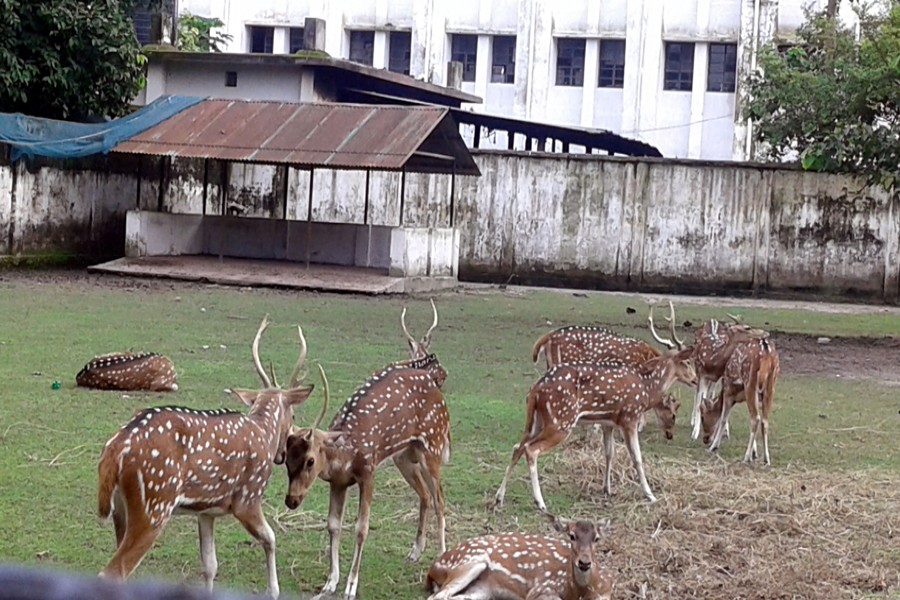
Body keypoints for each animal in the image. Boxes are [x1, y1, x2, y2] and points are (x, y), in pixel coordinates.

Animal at [96, 316, 314, 596]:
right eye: (294, 415)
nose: (281, 455)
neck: (263, 430)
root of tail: (115, 449)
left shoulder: (206, 511)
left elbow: (210, 565)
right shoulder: (248, 498)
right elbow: (271, 538)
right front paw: (274, 591)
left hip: (121, 510)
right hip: (153, 506)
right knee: (113, 572)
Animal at [282, 350, 450, 596]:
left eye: (310, 460)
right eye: (285, 459)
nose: (291, 500)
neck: (345, 454)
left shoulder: (369, 472)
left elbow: (361, 529)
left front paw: (351, 586)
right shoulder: (338, 482)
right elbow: (333, 525)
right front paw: (330, 582)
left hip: (433, 445)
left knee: (439, 499)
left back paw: (441, 559)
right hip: (404, 455)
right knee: (425, 495)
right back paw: (415, 552)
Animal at [428, 516, 616, 600]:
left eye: (597, 538)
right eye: (571, 536)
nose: (584, 563)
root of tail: (432, 568)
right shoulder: (542, 588)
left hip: (482, 590)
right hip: (470, 562)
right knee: (437, 596)